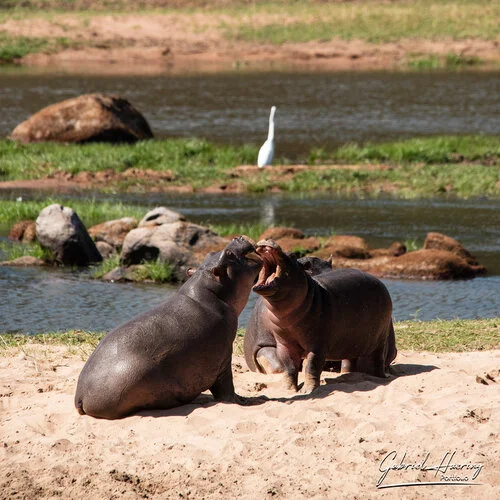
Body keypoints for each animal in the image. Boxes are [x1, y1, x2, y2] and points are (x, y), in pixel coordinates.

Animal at [75, 234, 262, 418]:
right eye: (229, 254)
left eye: (211, 253)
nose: (237, 237)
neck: (210, 292)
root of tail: (80, 396)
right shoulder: (223, 358)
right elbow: (226, 390)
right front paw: (245, 400)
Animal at [244, 240, 396, 392]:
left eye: (293, 255)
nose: (268, 241)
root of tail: (381, 283)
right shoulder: (283, 344)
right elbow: (288, 367)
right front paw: (289, 389)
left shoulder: (318, 343)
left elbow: (311, 365)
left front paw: (308, 390)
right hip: (353, 342)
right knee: (350, 360)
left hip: (379, 340)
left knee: (377, 359)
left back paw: (382, 376)